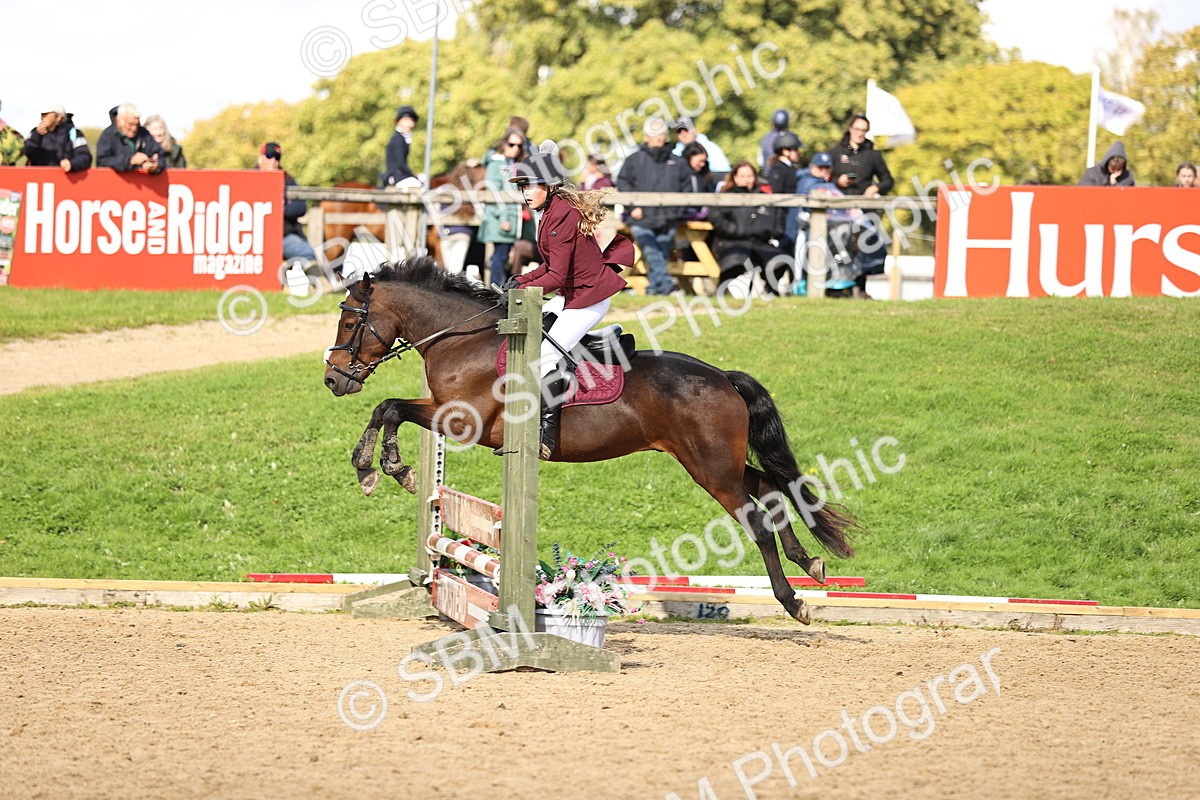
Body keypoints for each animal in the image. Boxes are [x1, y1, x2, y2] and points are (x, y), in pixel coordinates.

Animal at [322, 257, 858, 624]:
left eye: (349, 322)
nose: (333, 380)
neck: (463, 338)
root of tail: (723, 378)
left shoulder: (460, 420)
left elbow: (389, 407)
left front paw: (383, 469)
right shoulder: (442, 411)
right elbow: (388, 408)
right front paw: (387, 469)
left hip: (710, 470)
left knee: (758, 520)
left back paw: (793, 602)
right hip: (716, 462)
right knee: (772, 488)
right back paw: (810, 562)